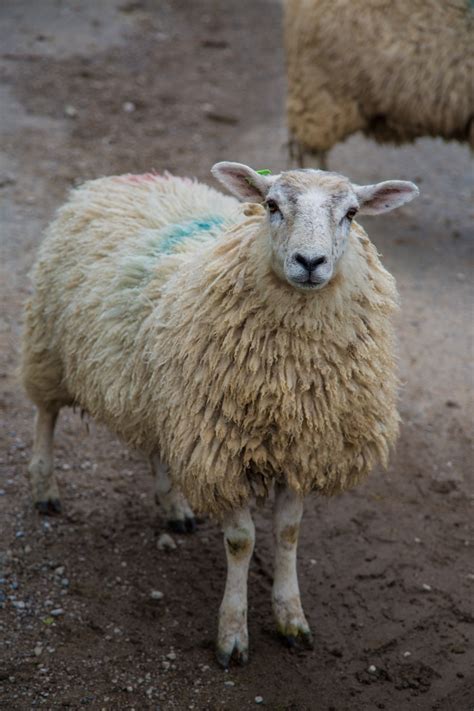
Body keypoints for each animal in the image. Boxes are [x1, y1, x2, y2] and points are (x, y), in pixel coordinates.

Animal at [21, 163, 419, 666]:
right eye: (271, 205)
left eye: (351, 213)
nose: (310, 262)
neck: (290, 378)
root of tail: (125, 177)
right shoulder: (222, 451)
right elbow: (242, 541)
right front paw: (232, 633)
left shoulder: (300, 447)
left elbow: (288, 533)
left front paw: (292, 618)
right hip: (49, 344)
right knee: (45, 415)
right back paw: (45, 487)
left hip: (163, 393)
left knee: (158, 445)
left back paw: (174, 507)